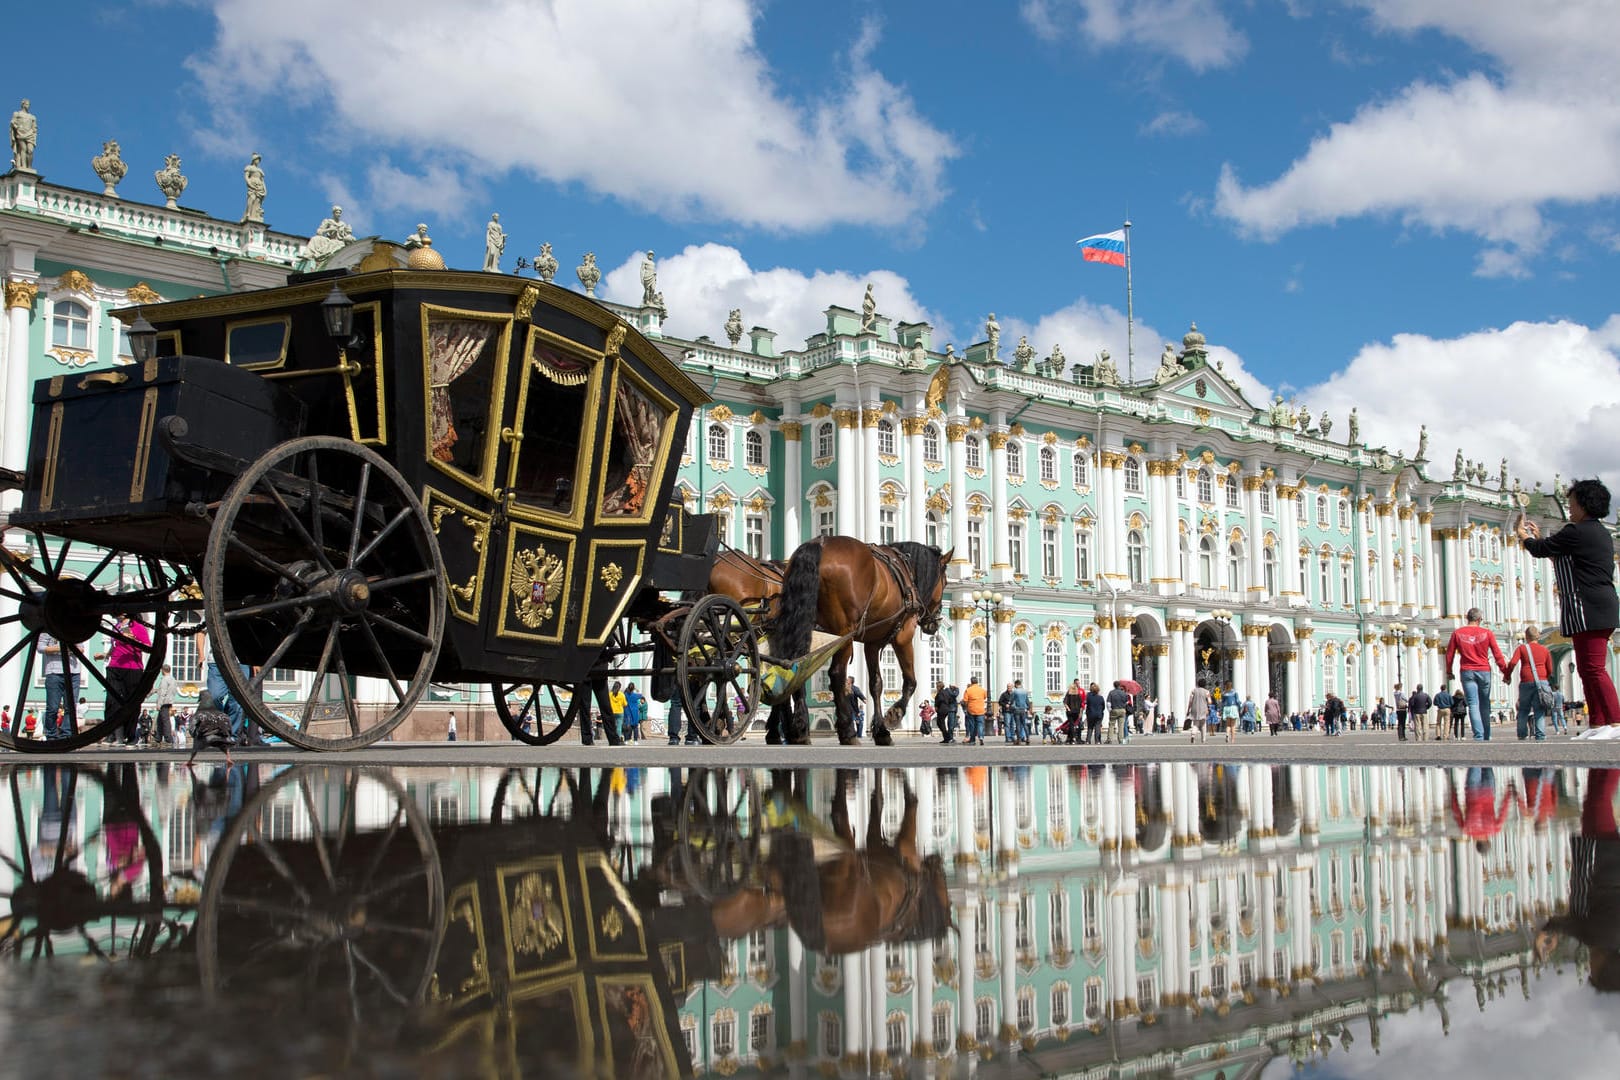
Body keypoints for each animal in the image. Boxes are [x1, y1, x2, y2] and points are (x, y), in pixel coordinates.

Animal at [709, 767, 946, 952]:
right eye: (942, 883)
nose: (938, 860)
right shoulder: (894, 847)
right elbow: (891, 803)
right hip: (849, 858)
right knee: (839, 813)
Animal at [771, 537, 946, 744]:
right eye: (944, 581)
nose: (934, 623)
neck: (907, 570)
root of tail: (820, 544)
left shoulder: (872, 643)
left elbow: (876, 684)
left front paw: (881, 731)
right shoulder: (903, 637)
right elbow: (911, 681)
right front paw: (893, 716)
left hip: (805, 626)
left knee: (795, 665)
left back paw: (799, 731)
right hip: (843, 633)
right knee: (836, 674)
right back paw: (847, 731)